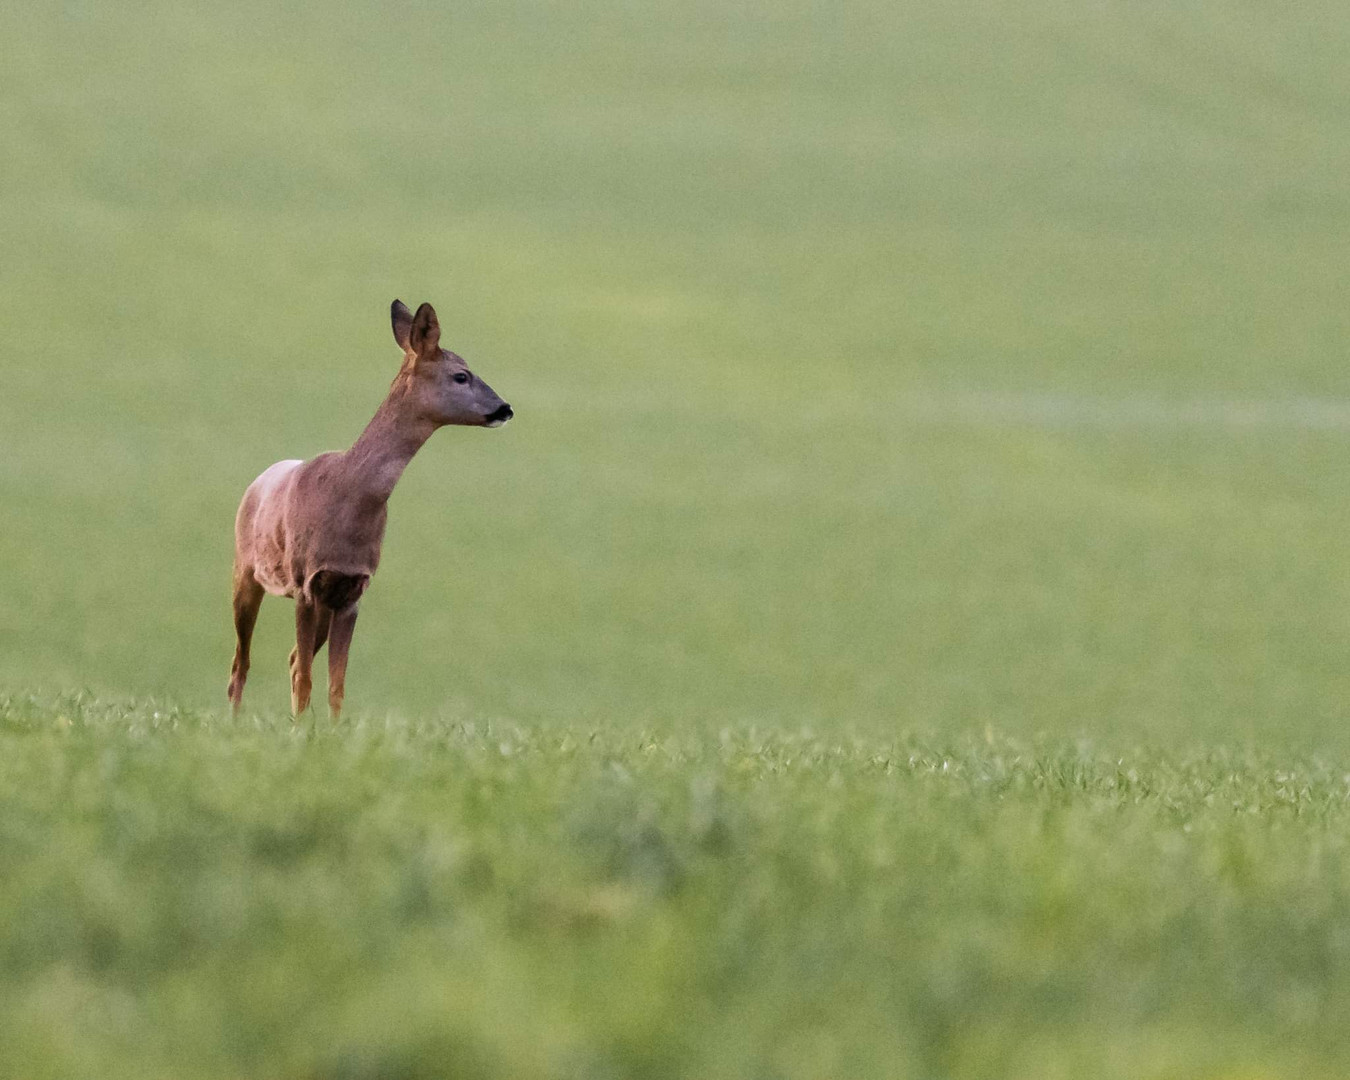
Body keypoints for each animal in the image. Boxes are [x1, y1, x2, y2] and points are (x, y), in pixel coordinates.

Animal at [226, 299, 510, 718]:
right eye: (461, 375)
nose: (505, 408)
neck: (348, 495)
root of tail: (259, 480)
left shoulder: (352, 589)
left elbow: (335, 684)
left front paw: (330, 728)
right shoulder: (305, 581)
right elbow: (308, 677)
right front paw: (301, 729)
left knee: (290, 658)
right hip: (246, 571)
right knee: (241, 663)